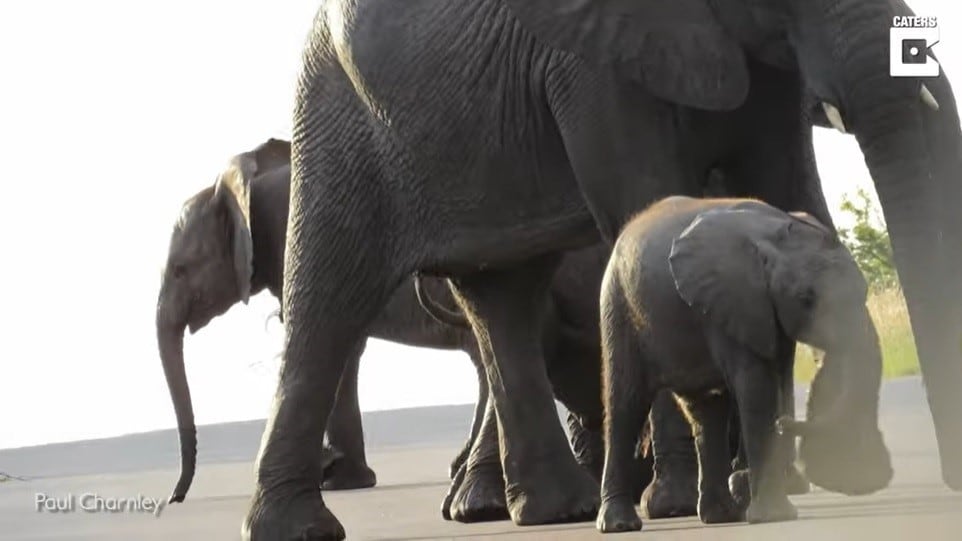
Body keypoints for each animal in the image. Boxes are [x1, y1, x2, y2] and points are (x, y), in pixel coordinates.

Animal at [596, 195, 888, 532]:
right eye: (806, 299)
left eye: (863, 290)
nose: (784, 424)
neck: (773, 235)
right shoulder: (736, 300)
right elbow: (757, 387)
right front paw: (775, 516)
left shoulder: (763, 310)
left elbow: (777, 379)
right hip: (618, 305)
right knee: (626, 405)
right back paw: (620, 525)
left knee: (707, 410)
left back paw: (722, 516)